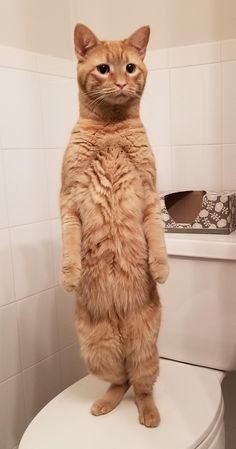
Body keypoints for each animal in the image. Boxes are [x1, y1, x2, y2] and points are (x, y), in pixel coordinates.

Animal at [60, 23, 169, 428]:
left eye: (131, 68)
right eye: (105, 69)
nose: (122, 83)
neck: (110, 129)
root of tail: (119, 320)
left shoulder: (150, 194)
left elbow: (157, 237)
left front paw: (161, 267)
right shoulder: (68, 201)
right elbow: (69, 245)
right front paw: (70, 275)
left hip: (144, 345)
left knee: (142, 384)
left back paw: (150, 415)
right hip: (98, 348)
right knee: (119, 380)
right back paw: (105, 402)